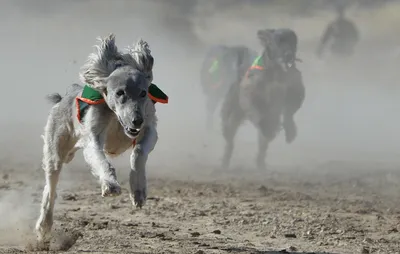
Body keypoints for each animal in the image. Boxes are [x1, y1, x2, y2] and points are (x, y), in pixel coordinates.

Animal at [35, 34, 158, 248]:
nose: (136, 120)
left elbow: (139, 152)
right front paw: (110, 185)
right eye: (120, 93)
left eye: (143, 93)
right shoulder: (93, 137)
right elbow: (101, 160)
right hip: (55, 152)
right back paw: (44, 227)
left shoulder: (150, 127)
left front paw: (138, 191)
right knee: (50, 188)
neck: (117, 120)